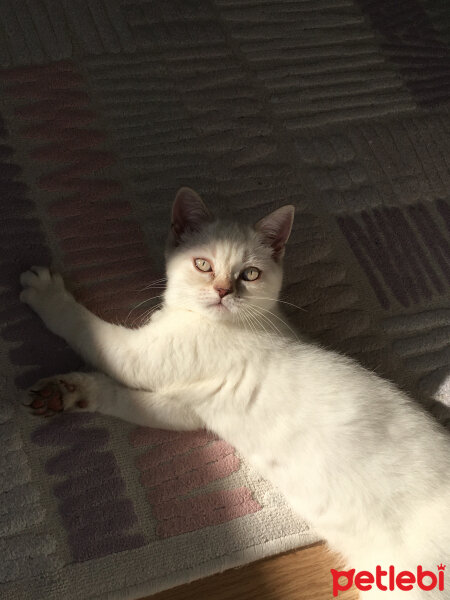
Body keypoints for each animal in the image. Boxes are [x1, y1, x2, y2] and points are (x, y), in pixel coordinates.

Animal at [21, 186, 450, 596]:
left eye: (251, 274)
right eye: (203, 265)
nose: (223, 291)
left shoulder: (139, 356)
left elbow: (84, 328)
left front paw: (45, 294)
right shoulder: (183, 409)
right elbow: (117, 396)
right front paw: (66, 391)